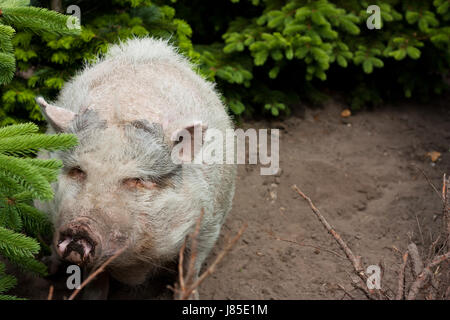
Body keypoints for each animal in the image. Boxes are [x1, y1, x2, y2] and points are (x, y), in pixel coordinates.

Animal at [33, 38, 237, 300]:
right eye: (78, 170)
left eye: (136, 179)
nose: (80, 228)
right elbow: (95, 282)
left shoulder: (208, 223)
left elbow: (190, 268)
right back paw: (47, 268)